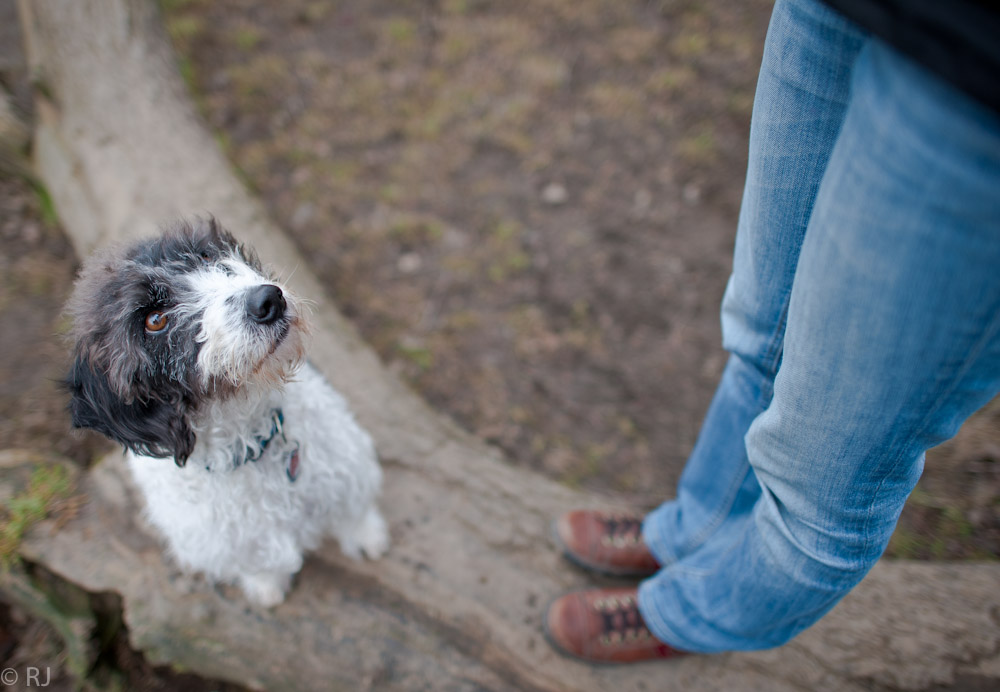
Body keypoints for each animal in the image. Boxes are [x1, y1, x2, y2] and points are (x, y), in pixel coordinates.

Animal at [65, 218, 386, 604]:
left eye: (206, 256)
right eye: (154, 319)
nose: (267, 300)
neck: (250, 441)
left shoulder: (345, 467)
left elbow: (353, 511)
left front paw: (367, 537)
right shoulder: (218, 541)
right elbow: (257, 563)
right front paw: (266, 588)